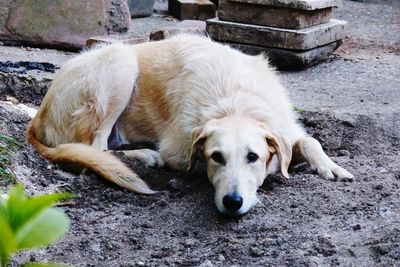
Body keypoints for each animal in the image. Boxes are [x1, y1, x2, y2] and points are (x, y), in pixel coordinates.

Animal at [27, 34, 354, 217]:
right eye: (216, 157)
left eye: (253, 157)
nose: (232, 202)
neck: (236, 101)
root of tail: (37, 117)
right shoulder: (179, 150)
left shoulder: (286, 128)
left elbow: (310, 141)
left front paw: (331, 167)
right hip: (120, 62)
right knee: (96, 146)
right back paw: (144, 155)